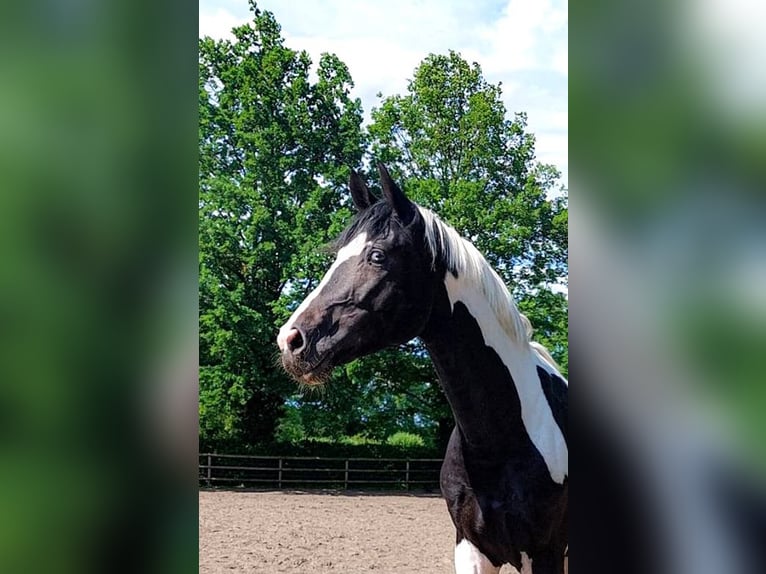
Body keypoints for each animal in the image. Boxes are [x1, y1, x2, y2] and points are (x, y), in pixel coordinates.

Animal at [280, 163, 568, 574]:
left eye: (377, 255)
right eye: (336, 255)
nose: (291, 340)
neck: (503, 440)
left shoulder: (546, 553)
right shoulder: (471, 548)